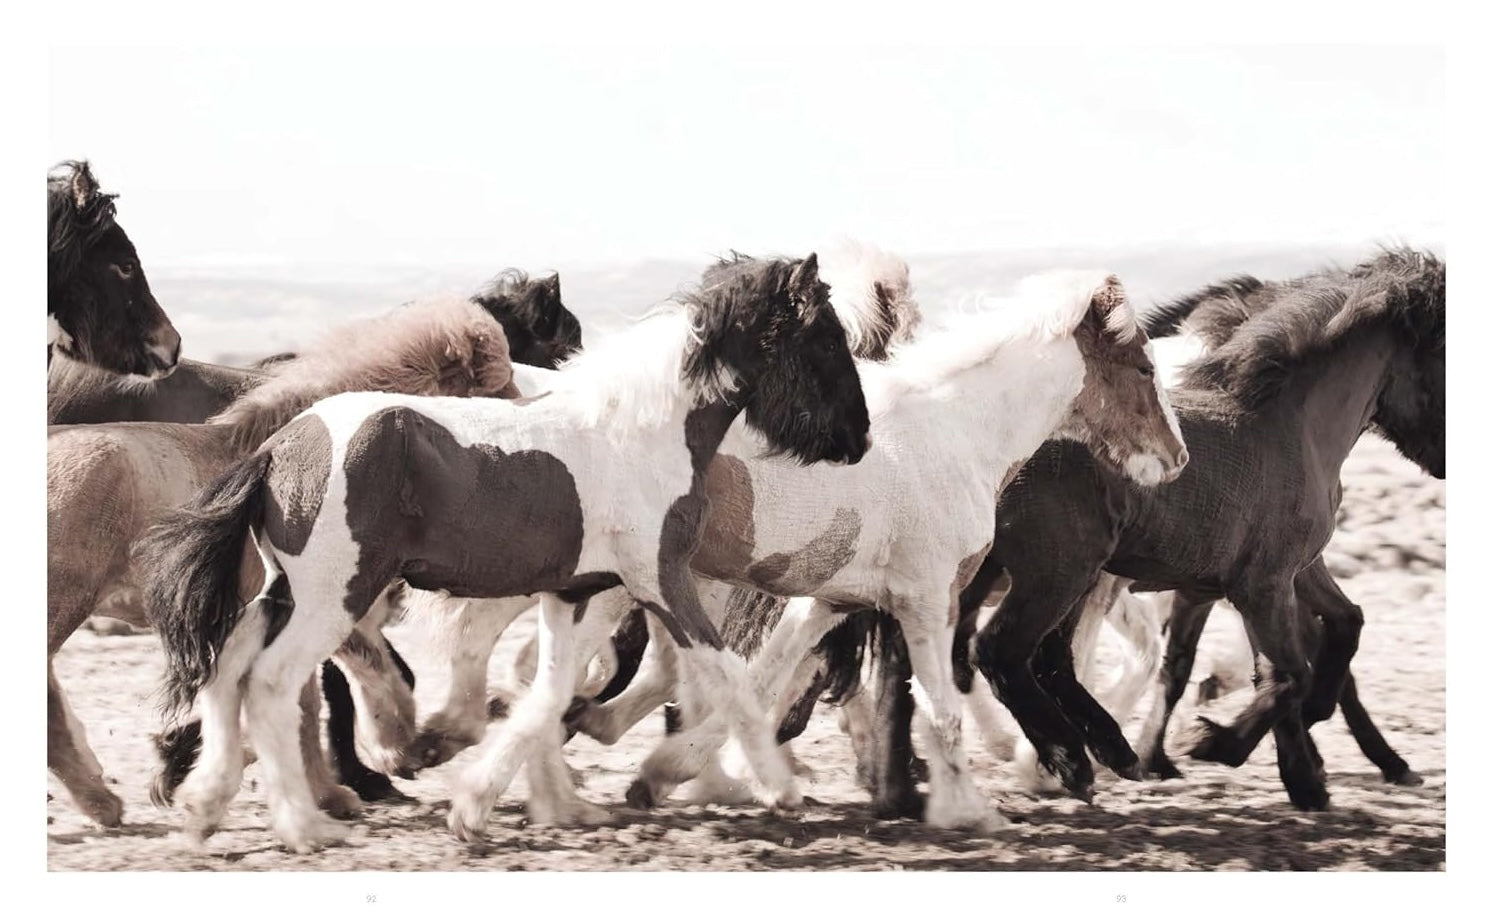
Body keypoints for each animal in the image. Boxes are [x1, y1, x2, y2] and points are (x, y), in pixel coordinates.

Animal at [47, 295, 517, 829]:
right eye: (497, 387)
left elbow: (323, 694)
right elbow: (340, 689)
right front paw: (379, 763)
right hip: (66, 599)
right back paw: (102, 802)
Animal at [136, 253, 871, 853]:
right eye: (825, 338)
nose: (859, 437)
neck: (637, 433)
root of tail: (281, 444)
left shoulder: (575, 592)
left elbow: (547, 692)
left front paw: (490, 803)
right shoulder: (660, 580)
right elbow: (727, 676)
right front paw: (779, 789)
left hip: (280, 592)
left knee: (228, 666)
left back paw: (205, 806)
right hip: (333, 596)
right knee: (270, 682)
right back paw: (304, 825)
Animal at [527, 269, 1186, 830]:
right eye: (1143, 368)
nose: (1176, 459)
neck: (956, 435)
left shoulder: (832, 602)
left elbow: (762, 683)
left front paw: (666, 773)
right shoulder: (927, 599)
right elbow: (941, 709)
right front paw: (969, 812)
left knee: (564, 679)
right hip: (628, 580)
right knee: (552, 676)